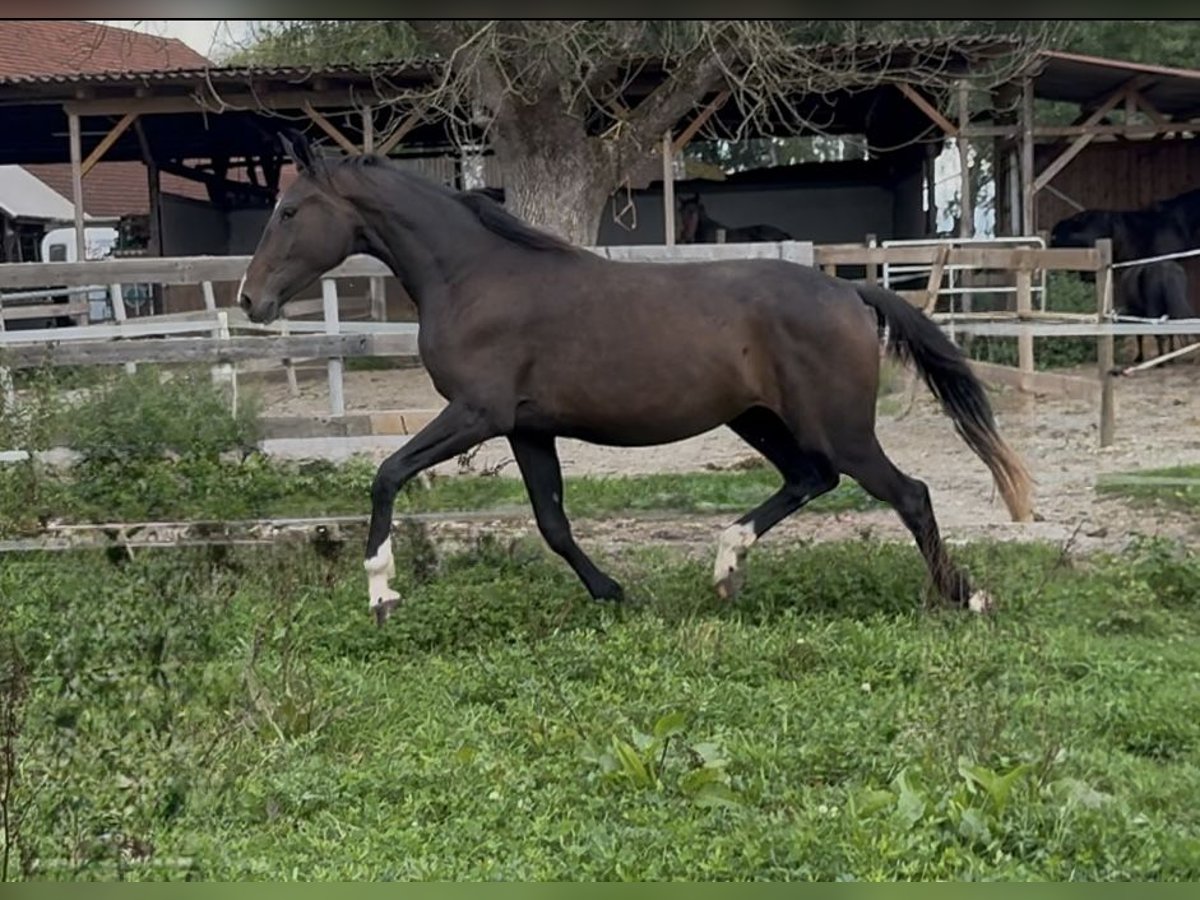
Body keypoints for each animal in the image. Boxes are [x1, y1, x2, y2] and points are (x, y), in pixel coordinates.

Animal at [239, 130, 1034, 627]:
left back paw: (965, 597)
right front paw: (613, 593)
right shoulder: (527, 429)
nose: (251, 300)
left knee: (907, 493)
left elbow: (386, 475)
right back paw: (725, 566)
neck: (473, 277)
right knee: (811, 480)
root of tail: (849, 292)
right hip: (758, 418)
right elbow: (553, 522)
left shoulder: (476, 414)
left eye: (289, 209)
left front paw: (380, 593)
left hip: (838, 427)